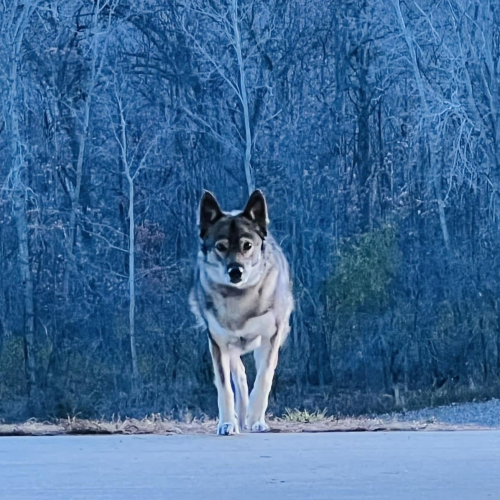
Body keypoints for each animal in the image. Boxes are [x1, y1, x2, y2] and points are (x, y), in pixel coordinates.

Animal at [190, 189, 292, 436]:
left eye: (247, 245)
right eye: (221, 246)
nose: (235, 271)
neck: (240, 298)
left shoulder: (271, 336)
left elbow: (264, 378)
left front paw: (256, 420)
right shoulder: (218, 343)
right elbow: (225, 387)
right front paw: (227, 423)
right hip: (230, 347)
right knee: (240, 375)